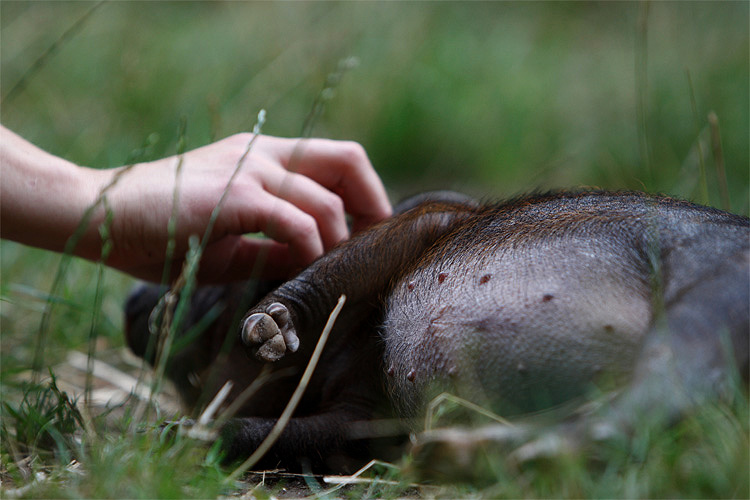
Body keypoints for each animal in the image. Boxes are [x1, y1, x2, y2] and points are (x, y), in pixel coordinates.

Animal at [125, 189, 750, 474]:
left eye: (217, 271)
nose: (132, 297)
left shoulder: (436, 212)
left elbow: (342, 265)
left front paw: (270, 329)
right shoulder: (365, 421)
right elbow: (289, 433)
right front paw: (173, 436)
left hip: (712, 295)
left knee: (662, 394)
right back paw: (457, 455)